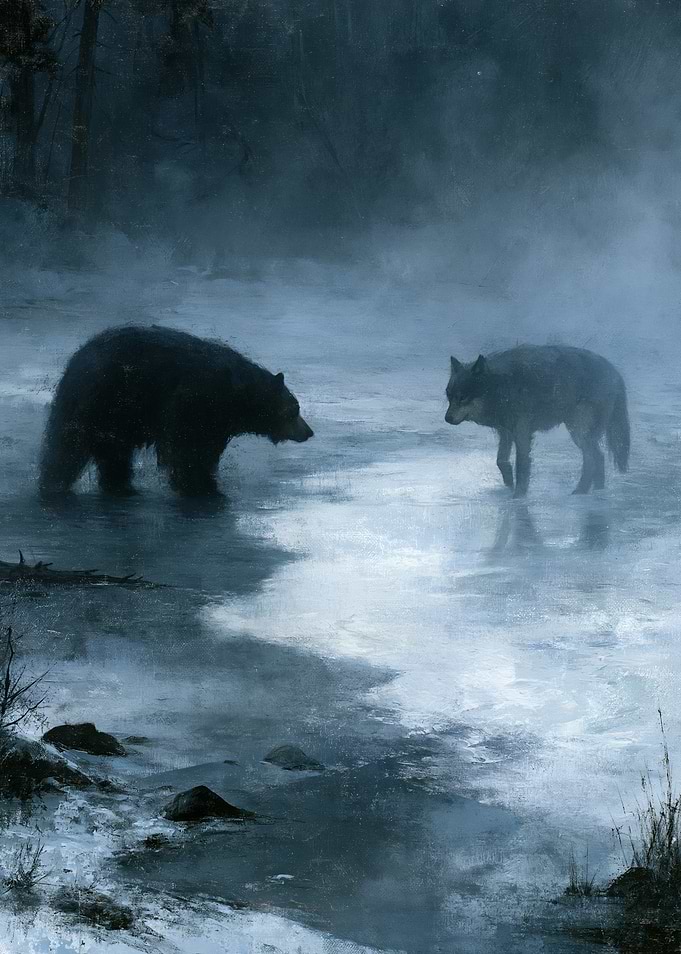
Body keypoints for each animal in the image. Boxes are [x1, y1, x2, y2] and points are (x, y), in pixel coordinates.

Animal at [39, 325, 314, 497]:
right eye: (295, 409)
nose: (309, 432)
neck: (236, 394)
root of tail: (75, 360)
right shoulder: (193, 402)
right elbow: (188, 449)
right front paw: (200, 487)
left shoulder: (218, 422)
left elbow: (207, 450)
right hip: (98, 403)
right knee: (67, 448)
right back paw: (54, 484)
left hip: (117, 419)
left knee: (113, 454)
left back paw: (121, 486)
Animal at [445, 345, 630, 497]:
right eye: (449, 396)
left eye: (462, 397)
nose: (447, 419)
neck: (502, 385)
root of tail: (615, 373)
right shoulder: (505, 432)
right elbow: (501, 460)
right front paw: (509, 483)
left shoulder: (522, 434)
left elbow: (521, 466)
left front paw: (518, 496)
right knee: (599, 457)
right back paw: (597, 491)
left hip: (578, 431)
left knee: (593, 458)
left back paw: (581, 491)